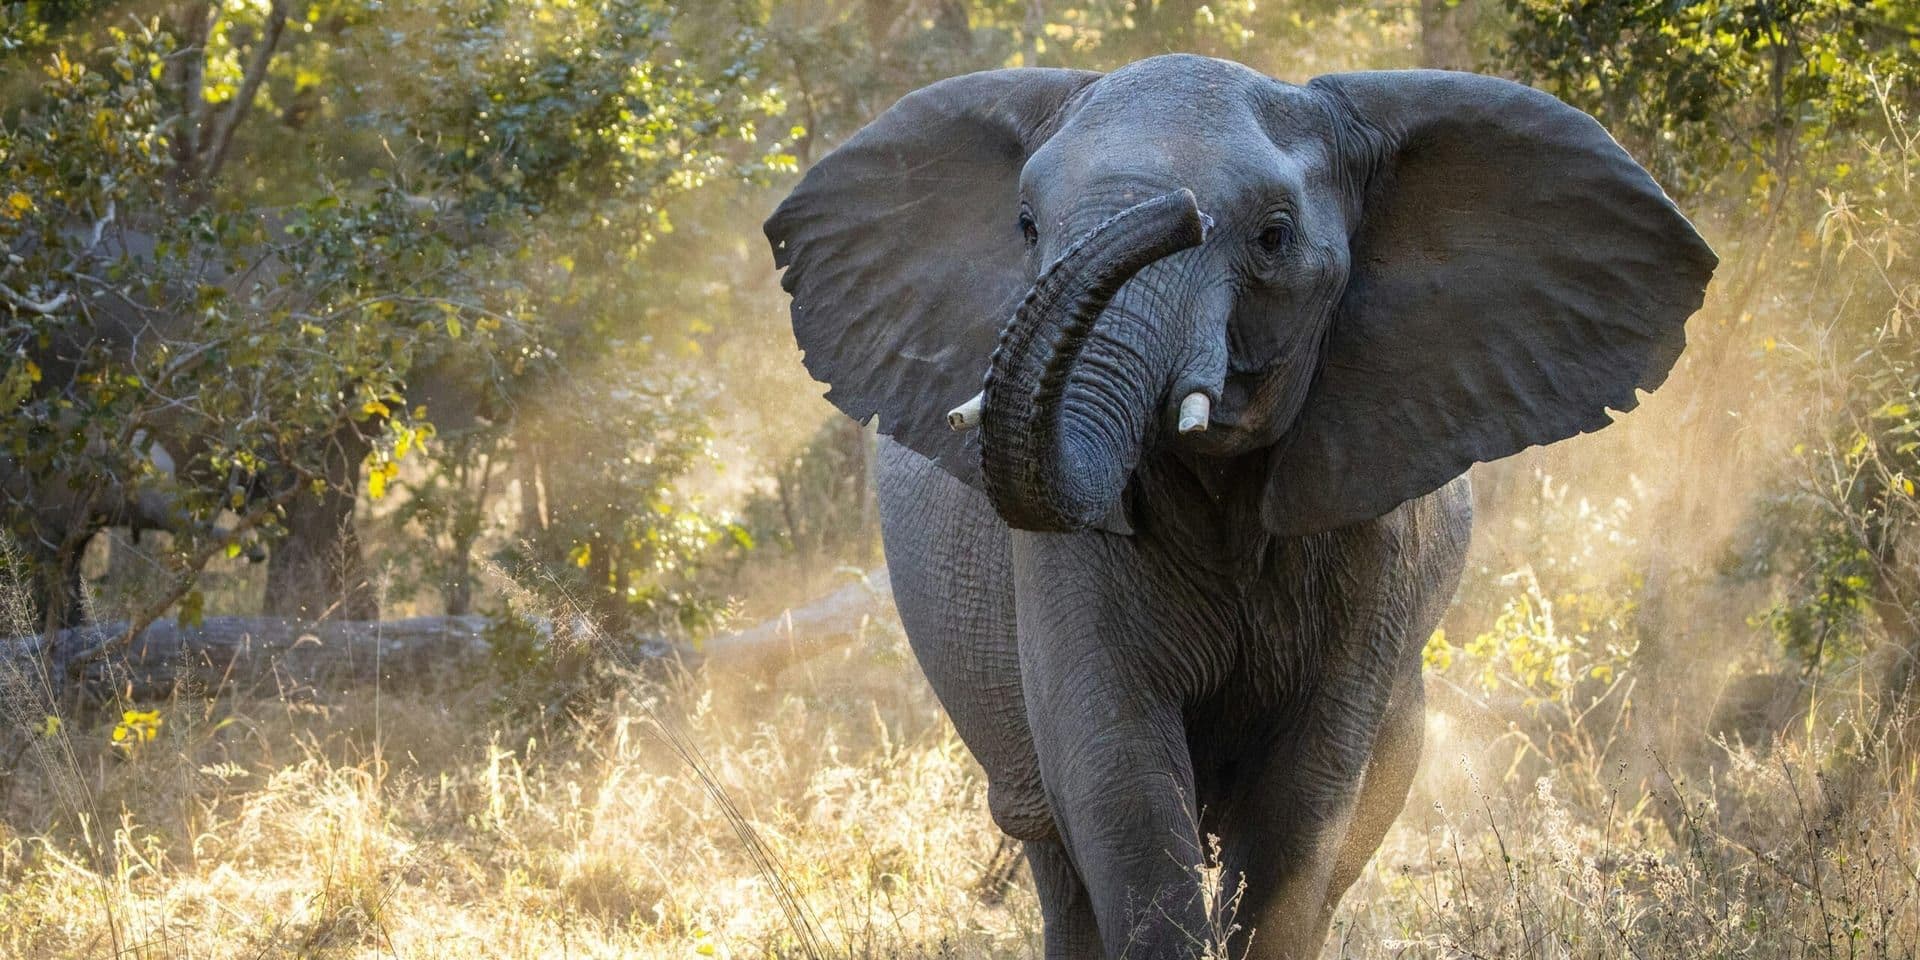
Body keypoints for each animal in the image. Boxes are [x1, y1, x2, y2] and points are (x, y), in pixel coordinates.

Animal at [764, 55, 1714, 959]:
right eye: (1027, 226)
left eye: (1273, 237)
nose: (1176, 213)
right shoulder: (1067, 558)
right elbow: (1119, 781)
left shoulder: (1373, 535)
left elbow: (1301, 804)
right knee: (1054, 851)